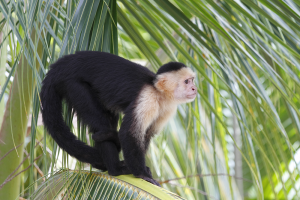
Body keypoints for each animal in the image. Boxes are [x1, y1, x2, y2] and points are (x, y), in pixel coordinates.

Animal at [41, 50, 197, 185]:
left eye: (192, 80)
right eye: (186, 82)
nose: (194, 88)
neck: (159, 92)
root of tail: (63, 64)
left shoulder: (168, 108)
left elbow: (147, 134)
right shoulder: (147, 99)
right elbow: (129, 133)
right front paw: (142, 173)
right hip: (74, 85)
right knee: (100, 126)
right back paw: (115, 169)